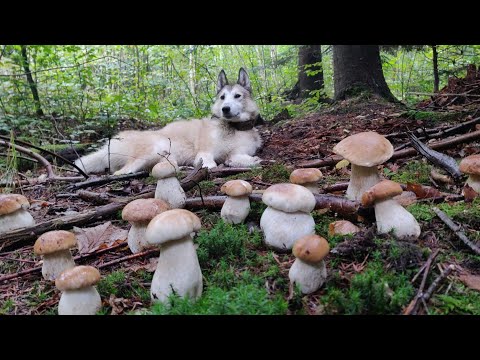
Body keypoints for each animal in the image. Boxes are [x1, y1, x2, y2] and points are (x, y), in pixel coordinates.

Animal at [74, 68, 262, 175]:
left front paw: (253, 161)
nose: (225, 109)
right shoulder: (205, 153)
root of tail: (111, 143)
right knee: (120, 172)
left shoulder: (235, 154)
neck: (234, 128)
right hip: (155, 148)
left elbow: (240, 158)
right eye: (222, 97)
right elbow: (211, 163)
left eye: (237, 96)